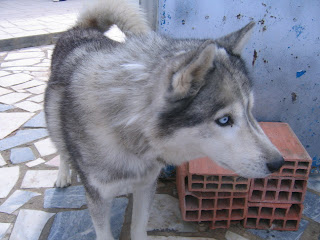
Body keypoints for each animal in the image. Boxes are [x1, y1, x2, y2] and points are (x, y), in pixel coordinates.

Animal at [43, 0, 284, 239]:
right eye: (225, 120)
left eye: (250, 110)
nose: (279, 163)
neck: (130, 136)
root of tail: (83, 28)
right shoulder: (98, 198)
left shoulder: (147, 186)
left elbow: (138, 228)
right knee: (61, 147)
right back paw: (63, 175)